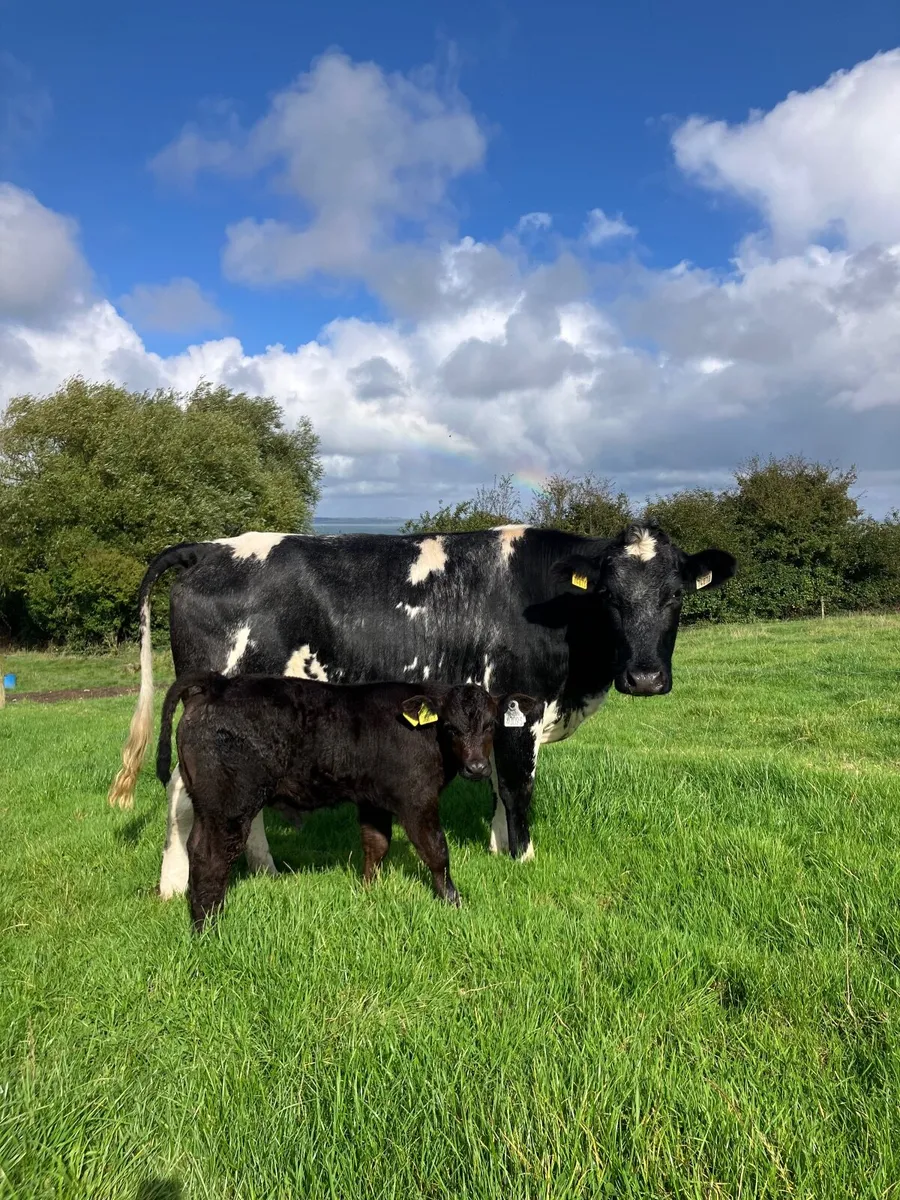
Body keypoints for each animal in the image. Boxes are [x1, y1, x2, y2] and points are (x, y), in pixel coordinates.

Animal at [108, 522, 736, 897]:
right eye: (608, 596)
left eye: (675, 595)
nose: (646, 678)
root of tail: (209, 548)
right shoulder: (521, 706)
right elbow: (517, 787)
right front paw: (523, 861)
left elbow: (495, 788)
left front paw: (496, 848)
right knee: (181, 793)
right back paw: (173, 885)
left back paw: (265, 870)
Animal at [157, 671, 538, 928]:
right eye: (450, 727)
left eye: (491, 726)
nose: (477, 767)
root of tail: (216, 683)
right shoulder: (417, 799)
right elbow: (436, 850)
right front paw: (454, 902)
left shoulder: (373, 800)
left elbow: (376, 844)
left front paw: (370, 892)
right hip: (229, 804)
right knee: (212, 856)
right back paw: (208, 925)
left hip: (207, 805)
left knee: (196, 847)